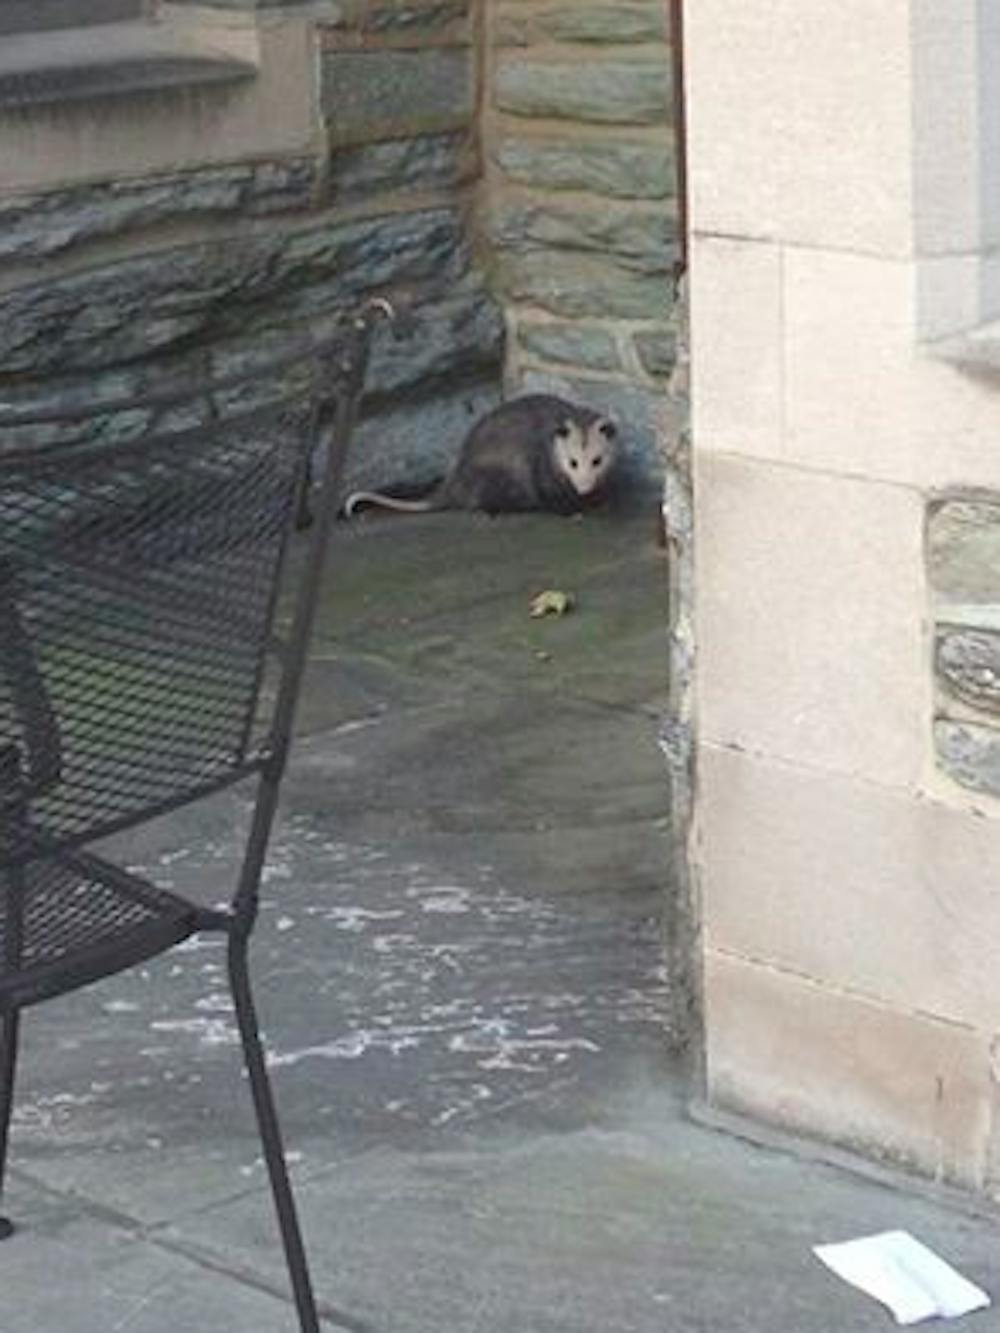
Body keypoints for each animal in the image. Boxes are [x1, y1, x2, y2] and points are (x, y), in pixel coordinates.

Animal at [343, 395, 620, 518]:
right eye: (572, 463)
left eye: (597, 461)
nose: (584, 489)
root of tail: (455, 484)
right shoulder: (541, 467)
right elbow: (548, 494)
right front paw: (572, 511)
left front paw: (598, 501)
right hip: (497, 476)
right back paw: (495, 511)